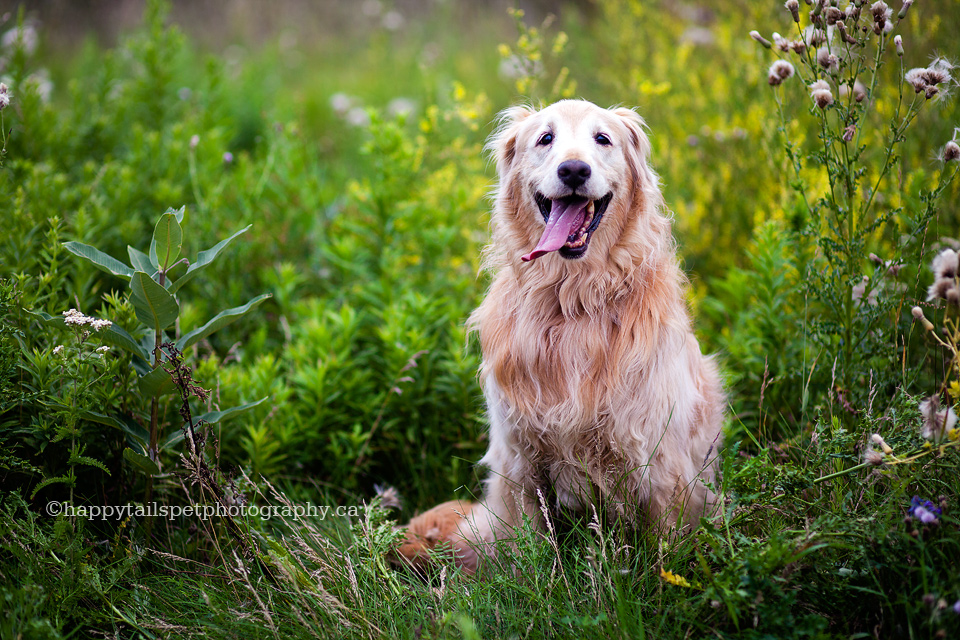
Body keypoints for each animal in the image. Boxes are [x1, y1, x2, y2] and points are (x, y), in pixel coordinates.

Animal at [396, 100, 720, 576]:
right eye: (545, 139)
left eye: (602, 139)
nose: (573, 170)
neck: (573, 300)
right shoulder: (519, 462)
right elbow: (530, 551)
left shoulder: (661, 461)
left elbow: (666, 549)